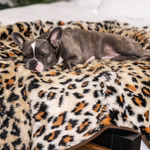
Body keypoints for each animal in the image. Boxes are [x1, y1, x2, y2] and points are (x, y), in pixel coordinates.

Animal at [11, 27, 148, 72]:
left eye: (43, 55)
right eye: (25, 56)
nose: (32, 62)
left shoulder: (78, 57)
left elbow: (68, 60)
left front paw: (66, 67)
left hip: (125, 47)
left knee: (145, 53)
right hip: (119, 57)